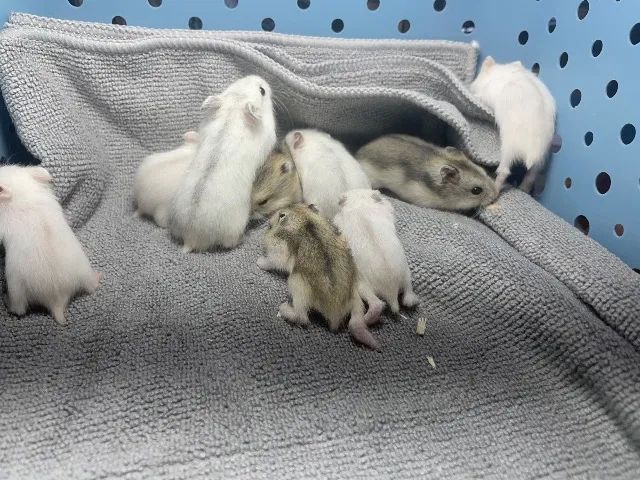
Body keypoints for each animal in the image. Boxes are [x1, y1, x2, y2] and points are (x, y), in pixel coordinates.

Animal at [0, 166, 101, 325]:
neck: (21, 193)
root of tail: (57, 302)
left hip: (16, 287)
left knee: (19, 309)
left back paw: (5, 299)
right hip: (85, 272)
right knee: (93, 287)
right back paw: (98, 276)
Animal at [257, 203, 384, 351]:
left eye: (280, 214)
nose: (269, 221)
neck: (304, 217)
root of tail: (335, 314)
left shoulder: (279, 249)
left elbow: (272, 261)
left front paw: (259, 262)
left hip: (296, 283)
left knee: (302, 317)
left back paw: (283, 308)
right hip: (358, 285)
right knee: (368, 312)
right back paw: (375, 340)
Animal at [470, 56, 556, 192]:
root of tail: (532, 153)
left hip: (508, 149)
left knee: (504, 172)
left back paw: (496, 189)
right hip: (540, 161)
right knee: (531, 176)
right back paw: (522, 189)